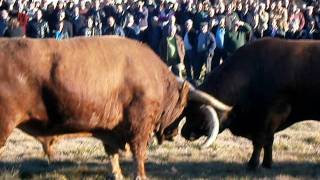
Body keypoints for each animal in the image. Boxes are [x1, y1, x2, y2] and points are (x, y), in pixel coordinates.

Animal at [0, 36, 230, 179]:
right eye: (182, 109)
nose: (175, 133)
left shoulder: (109, 129)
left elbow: (112, 154)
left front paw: (117, 174)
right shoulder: (140, 126)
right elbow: (139, 153)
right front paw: (140, 175)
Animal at [180, 38, 320, 169]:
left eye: (195, 113)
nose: (184, 132)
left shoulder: (269, 116)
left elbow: (259, 141)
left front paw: (252, 164)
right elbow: (269, 141)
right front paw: (267, 164)